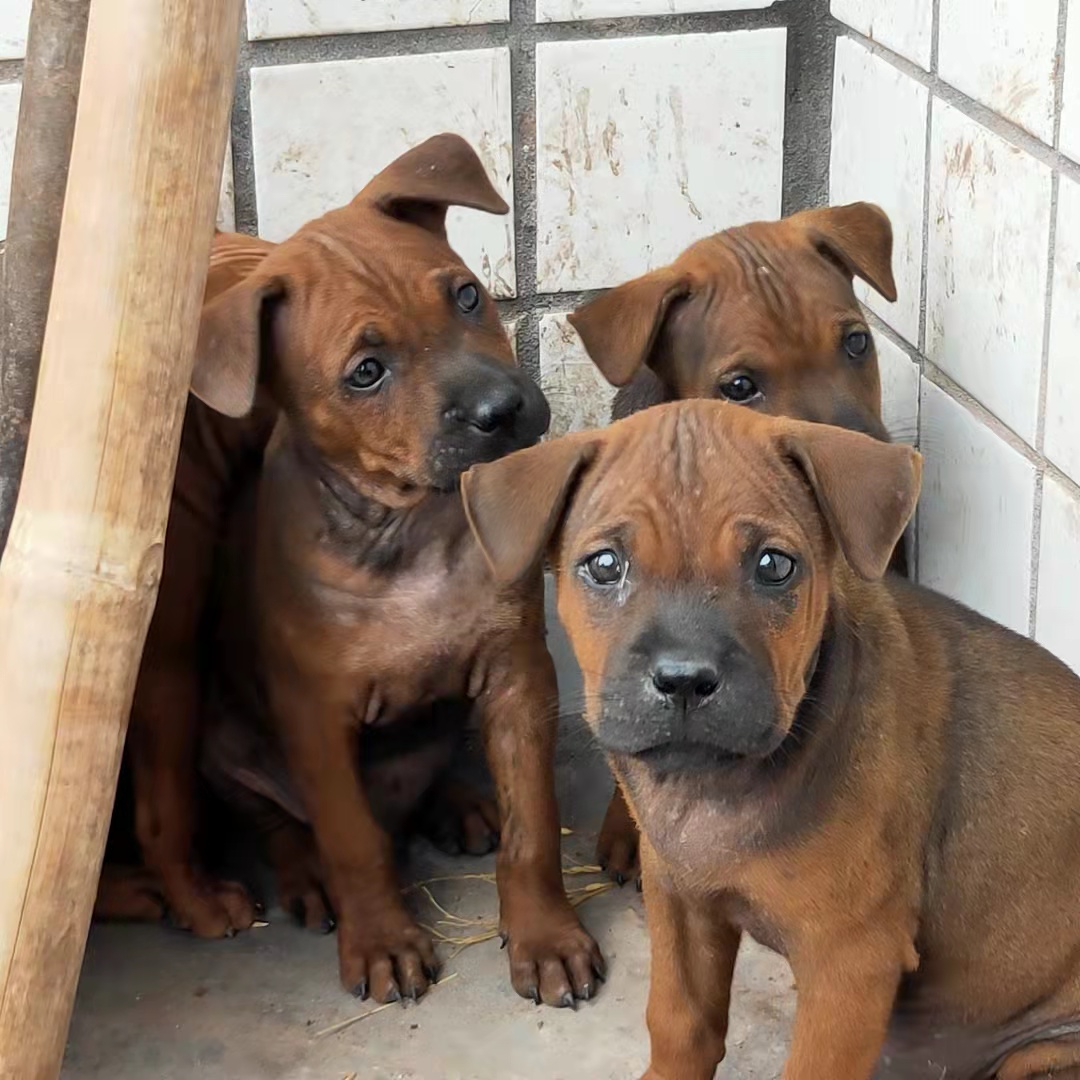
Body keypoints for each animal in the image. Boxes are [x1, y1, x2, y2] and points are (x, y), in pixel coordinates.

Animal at [192, 135, 609, 1002]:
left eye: (467, 297)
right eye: (366, 372)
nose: (501, 411)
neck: (414, 531)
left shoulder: (518, 674)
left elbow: (532, 824)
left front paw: (546, 936)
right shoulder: (316, 715)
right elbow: (351, 840)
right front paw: (381, 940)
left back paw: (459, 807)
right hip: (221, 740)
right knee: (287, 823)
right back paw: (307, 878)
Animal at [466, 403, 1080, 1080]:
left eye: (772, 565)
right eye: (605, 566)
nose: (684, 679)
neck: (717, 789)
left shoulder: (850, 961)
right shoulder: (678, 896)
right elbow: (680, 1021)